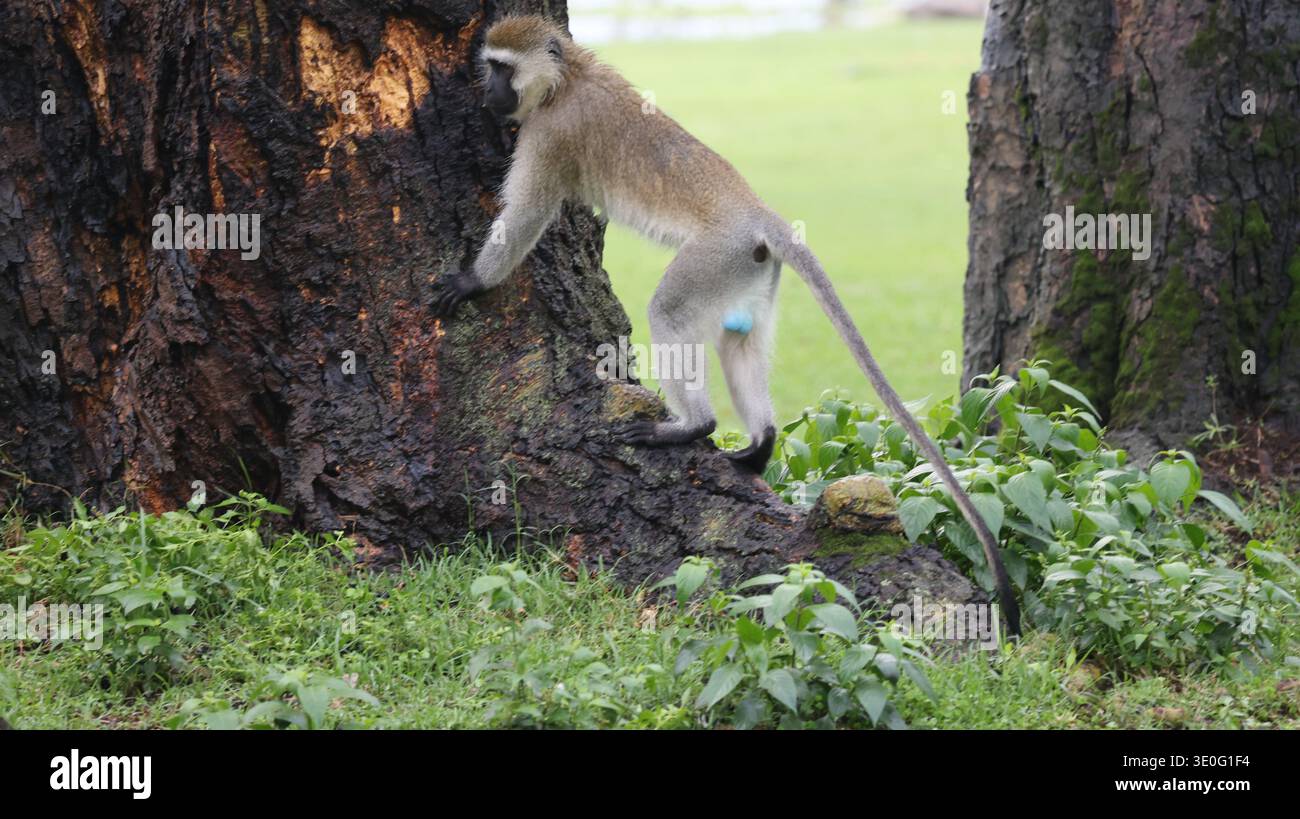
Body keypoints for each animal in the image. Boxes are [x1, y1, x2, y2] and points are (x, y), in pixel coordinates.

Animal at [430, 15, 1021, 635]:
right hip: (750, 271)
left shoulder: (550, 137)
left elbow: (523, 219)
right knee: (741, 340)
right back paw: (761, 443)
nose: (490, 93)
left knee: (669, 312)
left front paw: (472, 281)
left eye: (502, 68)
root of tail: (757, 214)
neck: (564, 79)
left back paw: (693, 427)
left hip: (714, 257)